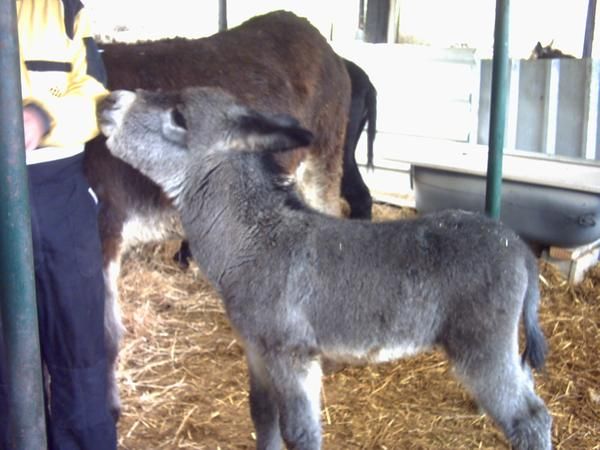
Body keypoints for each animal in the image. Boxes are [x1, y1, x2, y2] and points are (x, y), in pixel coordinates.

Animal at [98, 86, 552, 448]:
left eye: (179, 117)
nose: (108, 100)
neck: (255, 243)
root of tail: (518, 248)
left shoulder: (292, 354)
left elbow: (300, 432)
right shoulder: (257, 351)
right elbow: (262, 418)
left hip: (482, 344)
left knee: (529, 419)